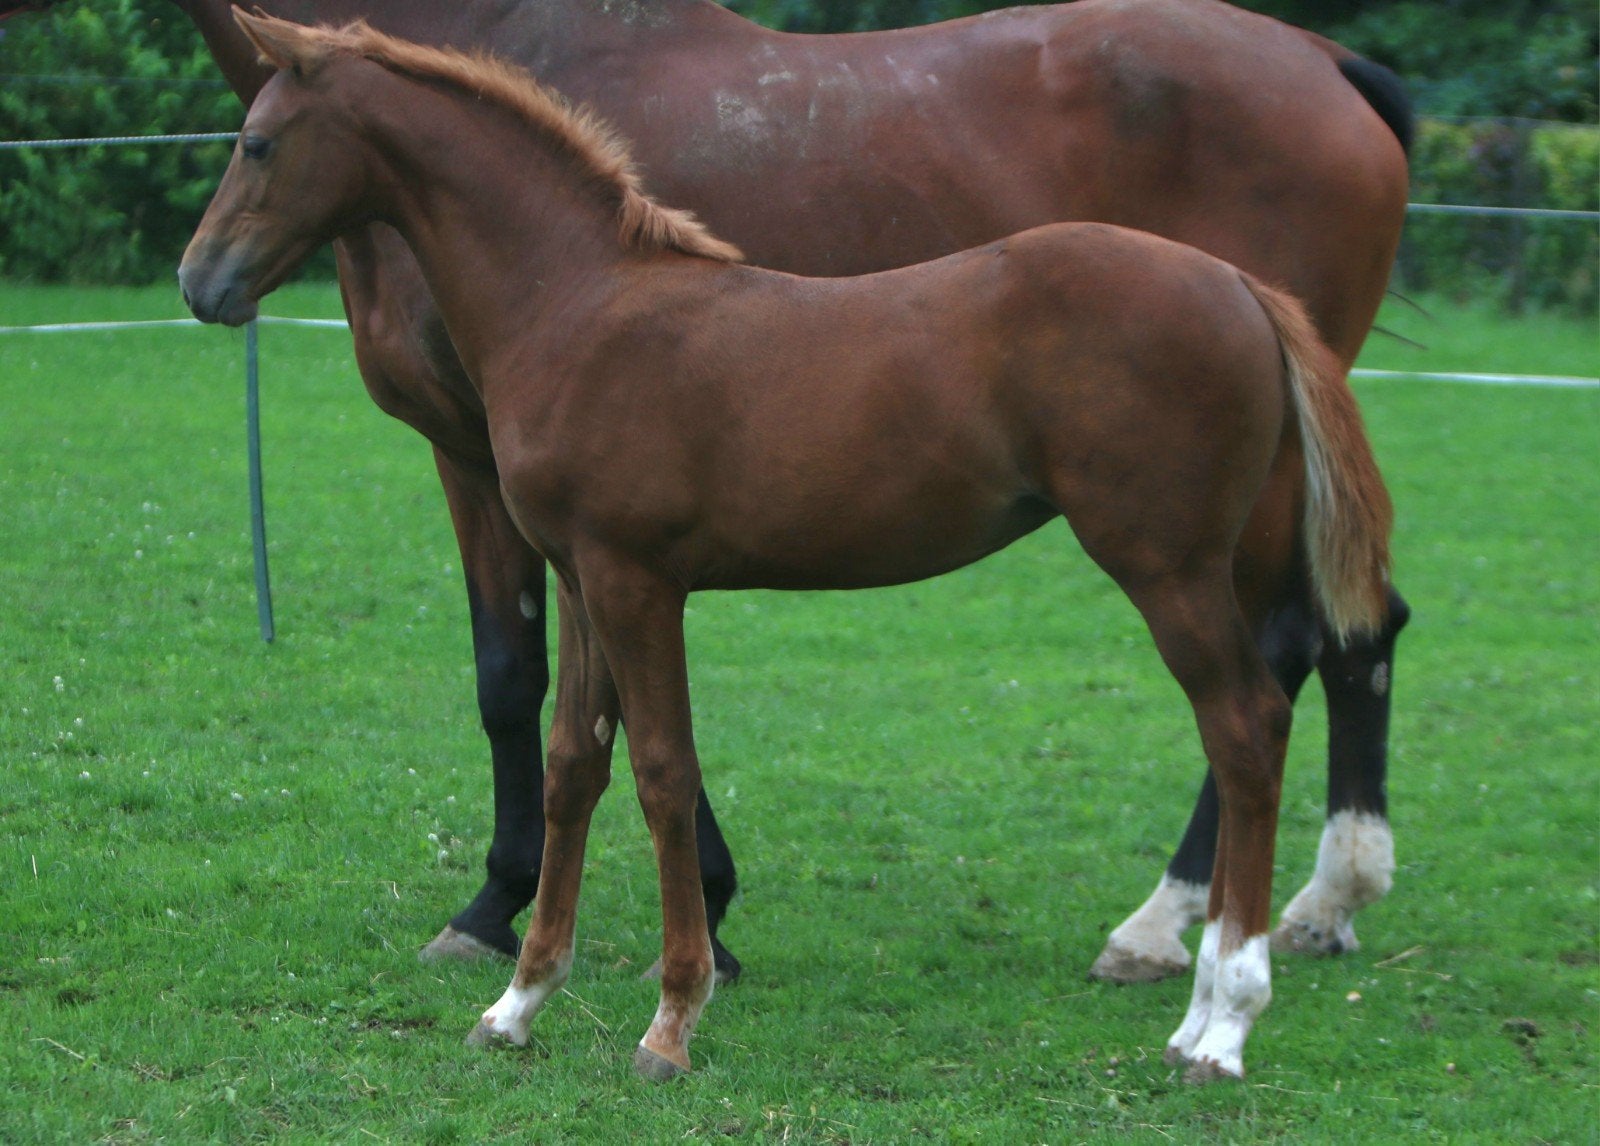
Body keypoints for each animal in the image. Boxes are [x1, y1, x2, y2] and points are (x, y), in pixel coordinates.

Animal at [4, 0, 1412, 982]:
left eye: (252, 142)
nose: (202, 281)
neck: (583, 282)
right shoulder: (573, 543)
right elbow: (572, 724)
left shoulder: (555, 516)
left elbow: (590, 724)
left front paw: (601, 933)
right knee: (1347, 636)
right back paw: (1305, 908)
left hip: (1185, 538)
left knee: (1260, 691)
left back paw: (1182, 936)